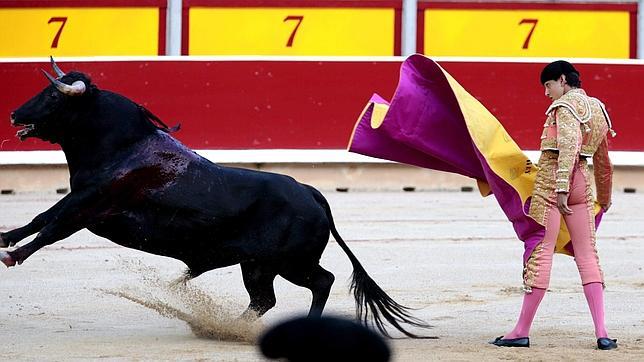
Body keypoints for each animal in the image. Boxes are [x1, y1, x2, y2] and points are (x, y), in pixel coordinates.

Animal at [2, 58, 430, 338]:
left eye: (53, 97)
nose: (15, 115)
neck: (121, 145)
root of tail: (311, 193)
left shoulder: (90, 206)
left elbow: (51, 229)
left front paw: (12, 255)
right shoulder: (79, 199)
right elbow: (41, 218)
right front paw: (6, 239)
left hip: (291, 262)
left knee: (322, 282)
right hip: (257, 265)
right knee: (264, 300)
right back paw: (229, 329)